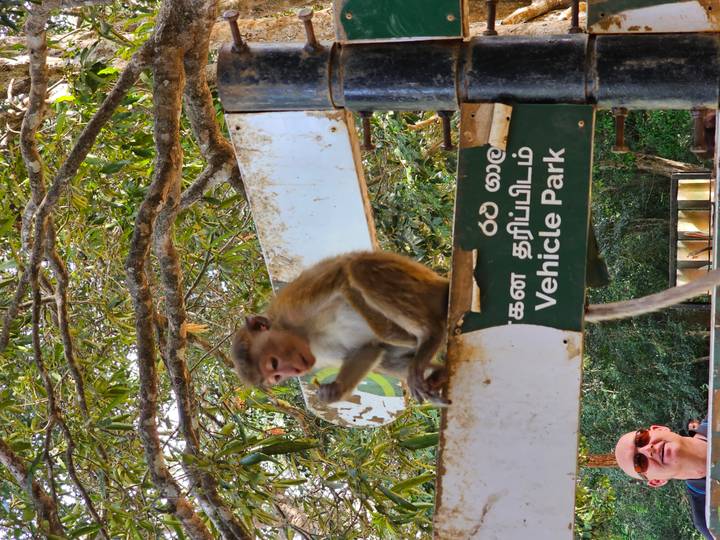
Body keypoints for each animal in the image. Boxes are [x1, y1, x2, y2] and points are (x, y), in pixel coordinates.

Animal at [232, 251, 449, 404]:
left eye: (274, 364)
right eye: (277, 376)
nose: (296, 371)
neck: (302, 333)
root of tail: (438, 281)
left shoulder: (293, 307)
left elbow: (343, 274)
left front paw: (395, 334)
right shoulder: (319, 352)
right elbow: (368, 348)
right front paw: (335, 391)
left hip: (419, 286)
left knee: (358, 267)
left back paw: (428, 334)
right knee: (387, 358)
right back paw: (437, 375)